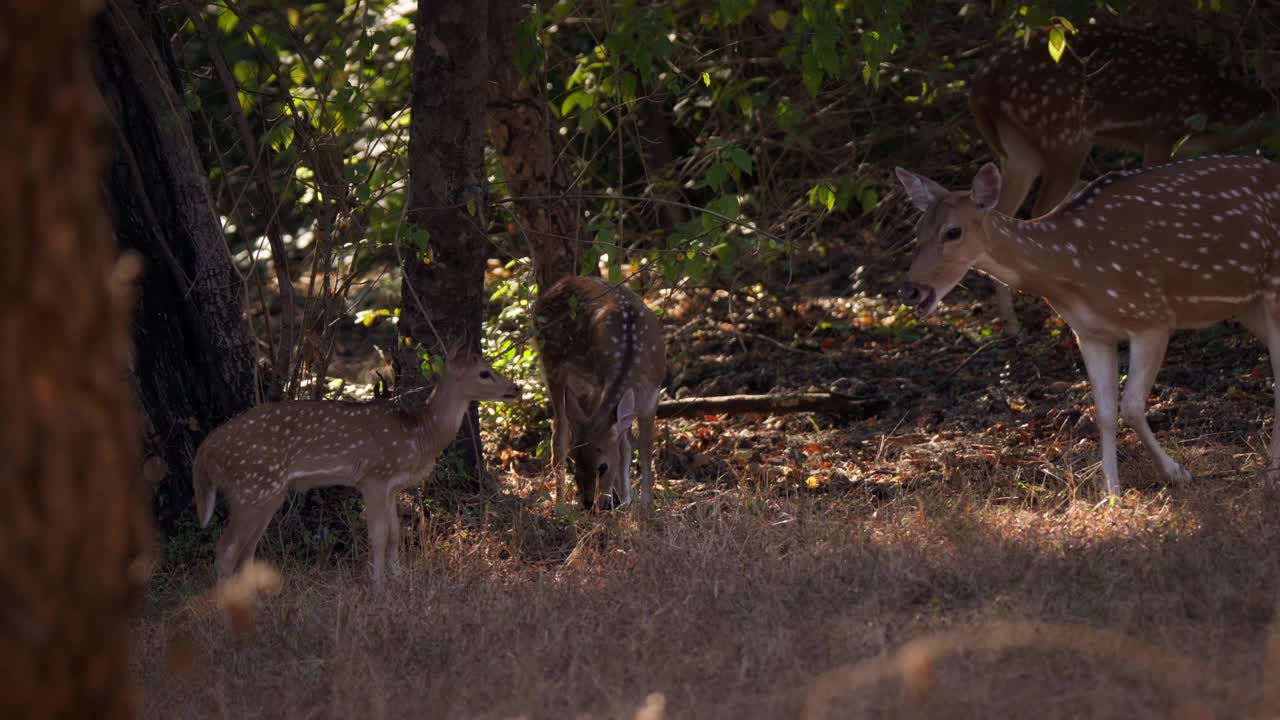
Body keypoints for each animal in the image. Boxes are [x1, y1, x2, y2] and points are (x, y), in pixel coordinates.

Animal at [188, 348, 514, 589]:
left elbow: (396, 532)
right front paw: (379, 587)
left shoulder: (391, 485)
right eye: (484, 373)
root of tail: (205, 450)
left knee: (247, 549)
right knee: (226, 548)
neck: (422, 434)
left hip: (266, 493)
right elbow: (379, 534)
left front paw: (400, 580)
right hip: (251, 486)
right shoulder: (374, 477)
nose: (515, 387)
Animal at [532, 274, 665, 509]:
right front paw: (627, 500)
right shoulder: (607, 386)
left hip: (585, 385)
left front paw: (639, 502)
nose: (588, 503)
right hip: (551, 361)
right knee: (559, 435)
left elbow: (640, 449)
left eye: (602, 467)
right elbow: (625, 447)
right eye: (575, 464)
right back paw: (560, 505)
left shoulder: (652, 395)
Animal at [896, 155, 1280, 491]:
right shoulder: (1089, 333)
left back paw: (1270, 473)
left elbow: (1132, 406)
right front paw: (1110, 492)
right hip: (1249, 307)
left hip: (1273, 288)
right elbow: (1104, 411)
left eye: (953, 231)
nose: (911, 289)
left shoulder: (1152, 316)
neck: (1074, 270)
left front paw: (1177, 473)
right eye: (916, 230)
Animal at [967, 24, 1269, 333]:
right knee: (1039, 212)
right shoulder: (1161, 130)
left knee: (1003, 211)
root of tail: (981, 83)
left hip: (1019, 149)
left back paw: (1014, 323)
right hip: (1064, 135)